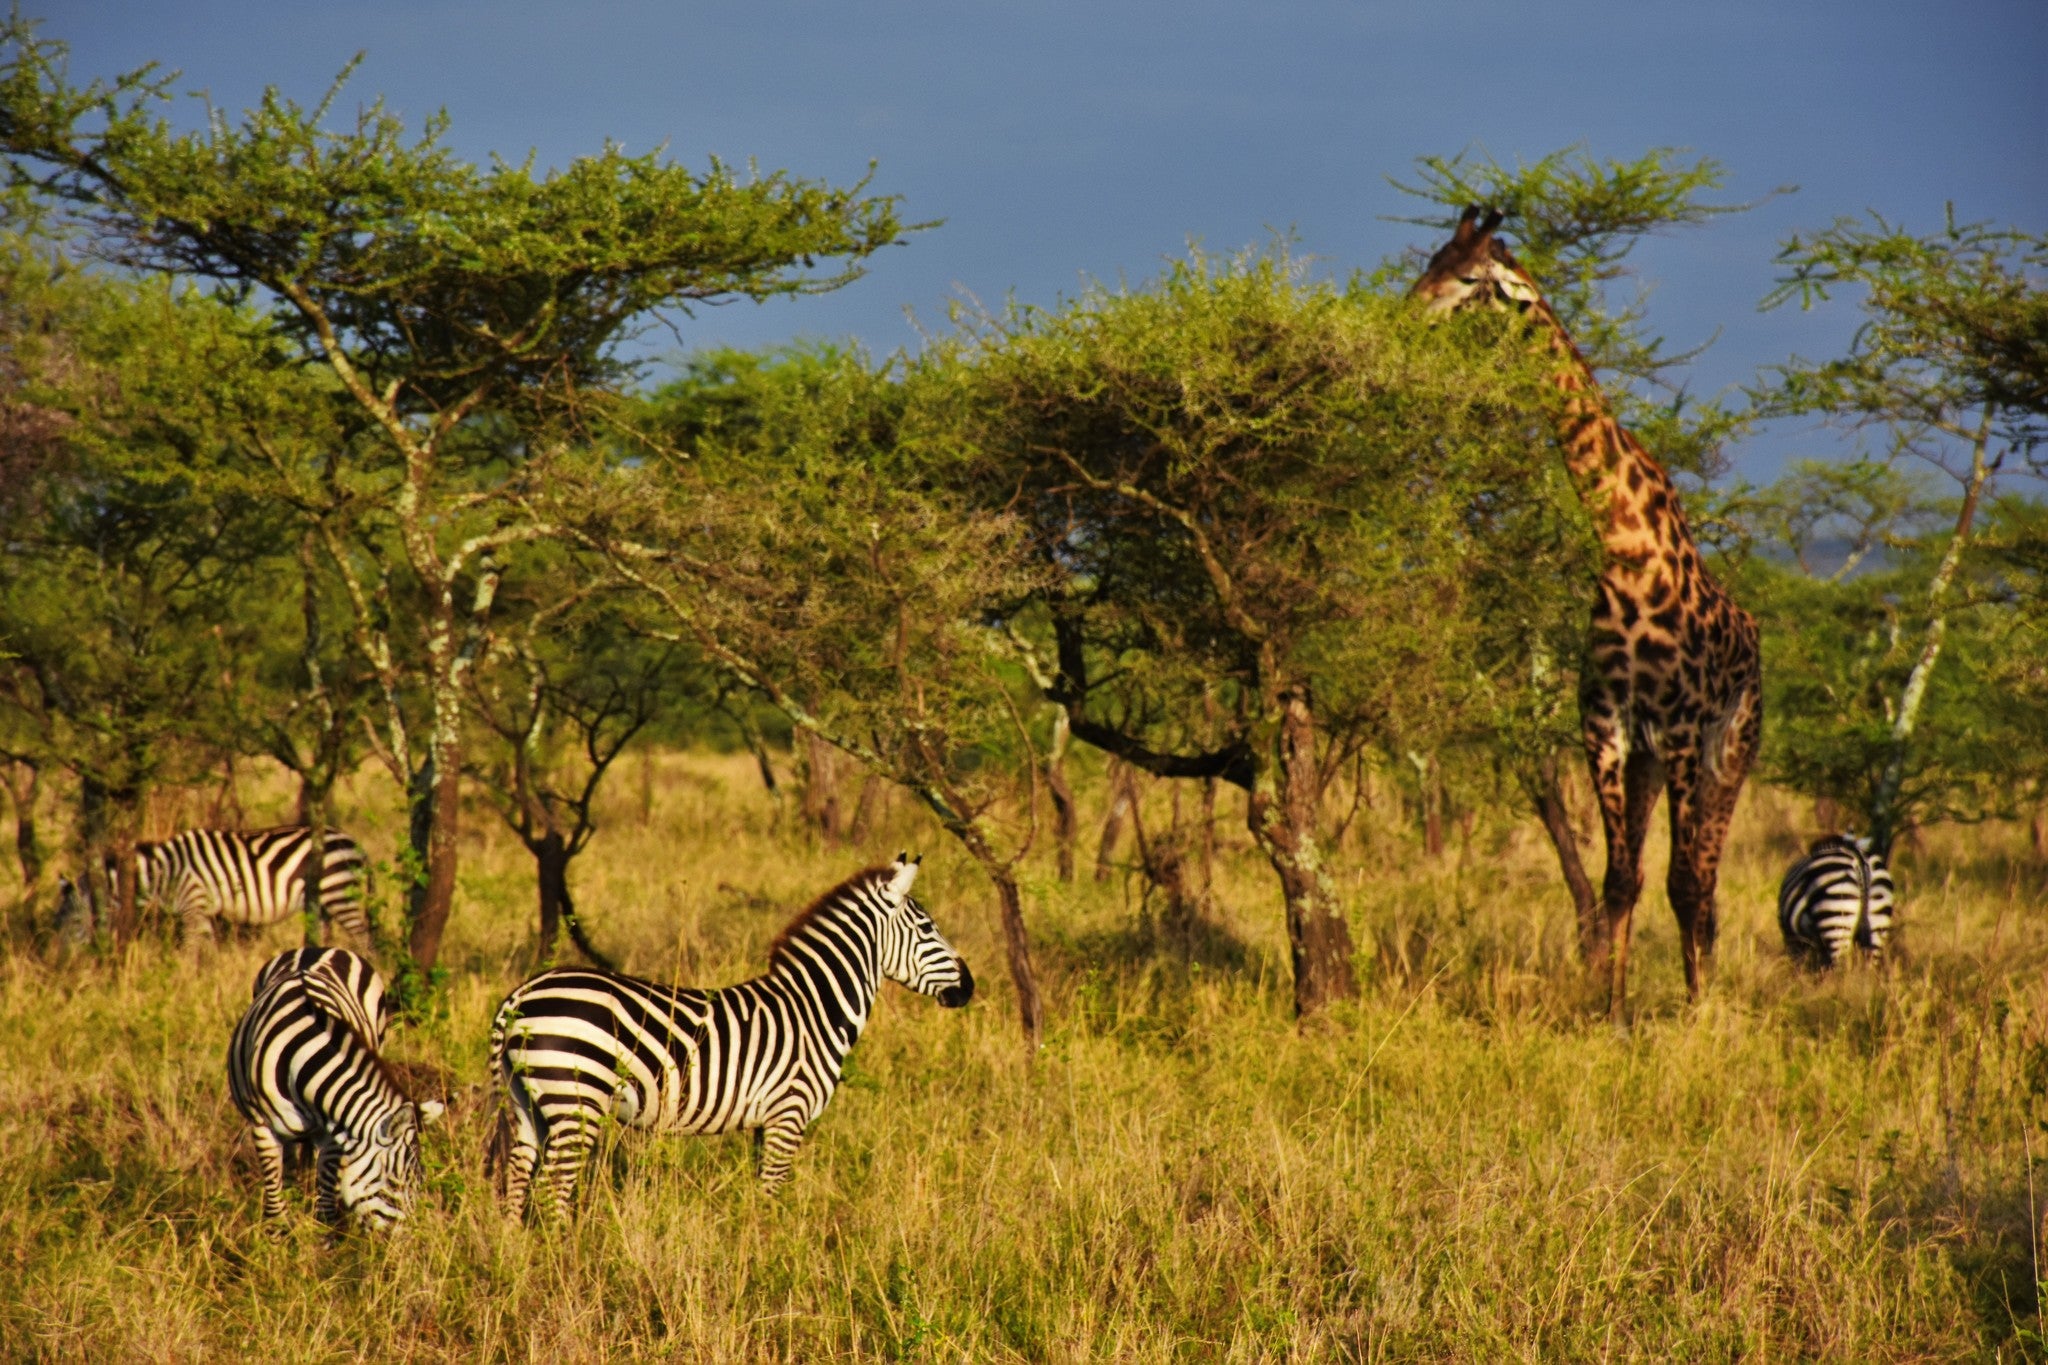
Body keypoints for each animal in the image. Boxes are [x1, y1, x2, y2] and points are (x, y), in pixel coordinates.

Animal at [129, 822, 372, 949]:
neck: (167, 871)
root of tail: (354, 842)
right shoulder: (202, 911)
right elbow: (207, 948)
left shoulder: (193, 904)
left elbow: (190, 948)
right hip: (323, 904)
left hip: (338, 893)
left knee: (363, 938)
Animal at [228, 949, 444, 1227]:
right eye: (394, 1184)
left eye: (419, 1182)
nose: (412, 1236)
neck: (304, 1062)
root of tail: (319, 948)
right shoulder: (262, 1127)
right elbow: (276, 1207)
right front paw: (281, 1237)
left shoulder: (334, 1132)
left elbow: (327, 1203)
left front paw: (324, 1234)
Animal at [493, 855, 974, 1219]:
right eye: (928, 929)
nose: (969, 987)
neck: (815, 1008)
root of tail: (521, 993)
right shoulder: (789, 1113)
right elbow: (770, 1196)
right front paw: (771, 1265)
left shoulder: (767, 1122)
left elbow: (761, 1193)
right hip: (575, 1097)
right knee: (554, 1184)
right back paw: (562, 1255)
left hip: (529, 1100)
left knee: (518, 1172)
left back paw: (516, 1257)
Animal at [1409, 208, 1761, 1023]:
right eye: (1431, 260)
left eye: (1467, 279)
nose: (1404, 315)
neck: (1623, 544)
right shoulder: (1607, 727)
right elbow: (1618, 880)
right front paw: (1613, 1011)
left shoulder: (1683, 729)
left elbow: (1682, 883)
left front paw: (1692, 1015)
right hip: (1650, 762)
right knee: (1663, 874)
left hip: (1731, 751)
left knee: (1706, 880)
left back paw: (1704, 989)